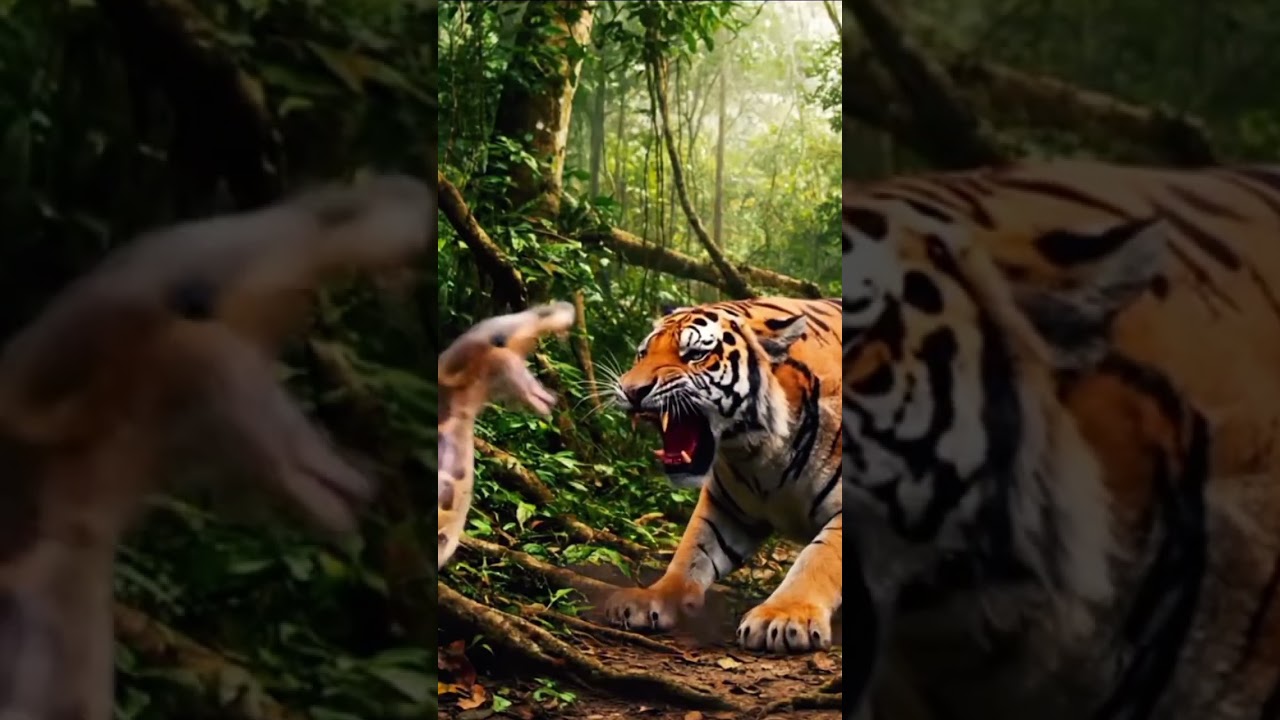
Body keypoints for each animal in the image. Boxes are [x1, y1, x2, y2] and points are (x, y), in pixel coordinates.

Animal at [603, 297, 843, 655]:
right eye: (643, 354)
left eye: (695, 355)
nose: (632, 391)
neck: (762, 453)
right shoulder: (725, 506)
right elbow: (691, 554)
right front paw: (651, 598)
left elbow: (819, 557)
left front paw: (782, 616)